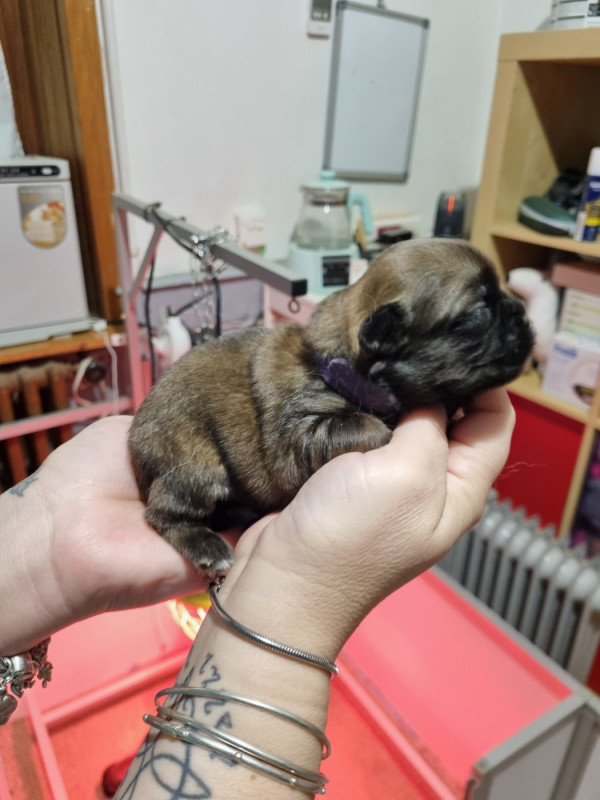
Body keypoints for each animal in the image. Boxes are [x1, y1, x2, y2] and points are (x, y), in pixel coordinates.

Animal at [129, 238, 533, 574]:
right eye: (479, 313)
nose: (524, 314)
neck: (342, 365)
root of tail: (133, 446)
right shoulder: (303, 433)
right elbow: (370, 427)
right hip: (194, 468)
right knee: (162, 515)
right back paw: (207, 546)